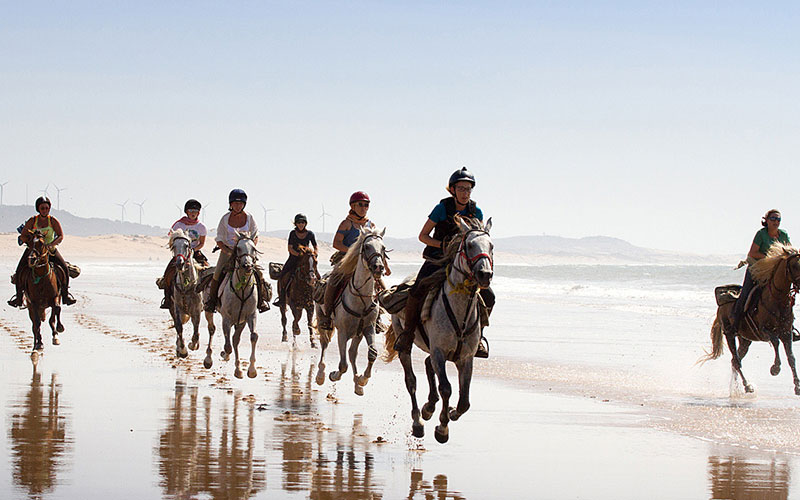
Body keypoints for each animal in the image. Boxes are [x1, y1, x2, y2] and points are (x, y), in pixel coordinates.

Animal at [165, 230, 202, 360]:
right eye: (173, 246)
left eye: (187, 245)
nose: (179, 263)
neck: (186, 286)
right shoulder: (177, 308)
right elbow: (179, 327)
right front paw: (182, 350)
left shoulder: (196, 309)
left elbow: (196, 329)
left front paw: (193, 344)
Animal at [202, 234, 260, 378]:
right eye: (238, 248)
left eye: (254, 248)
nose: (247, 266)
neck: (242, 289)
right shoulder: (226, 318)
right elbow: (227, 346)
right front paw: (224, 354)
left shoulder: (250, 316)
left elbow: (253, 336)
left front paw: (251, 370)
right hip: (208, 311)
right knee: (212, 329)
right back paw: (208, 359)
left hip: (240, 321)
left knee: (235, 339)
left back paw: (238, 369)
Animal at [314, 226, 386, 394]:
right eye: (366, 246)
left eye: (383, 248)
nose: (378, 267)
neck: (360, 298)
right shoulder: (343, 332)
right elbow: (343, 365)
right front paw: (333, 375)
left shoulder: (368, 328)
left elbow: (372, 353)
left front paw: (363, 379)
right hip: (322, 319)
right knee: (324, 343)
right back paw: (320, 374)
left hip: (357, 334)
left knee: (352, 353)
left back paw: (357, 384)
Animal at [382, 217, 494, 444]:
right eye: (470, 245)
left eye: (491, 246)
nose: (485, 274)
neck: (460, 312)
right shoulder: (440, 352)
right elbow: (446, 388)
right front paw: (442, 428)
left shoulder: (465, 358)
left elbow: (464, 400)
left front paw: (450, 413)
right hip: (406, 343)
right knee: (411, 381)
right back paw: (419, 420)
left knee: (427, 364)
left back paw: (429, 406)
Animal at [700, 244, 800, 396]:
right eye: (795, 265)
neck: (777, 300)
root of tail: (721, 306)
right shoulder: (765, 330)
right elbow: (775, 342)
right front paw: (775, 368)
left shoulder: (786, 333)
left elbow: (792, 358)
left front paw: (797, 386)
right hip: (730, 334)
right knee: (736, 361)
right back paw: (747, 386)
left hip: (745, 340)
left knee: (735, 360)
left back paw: (740, 387)